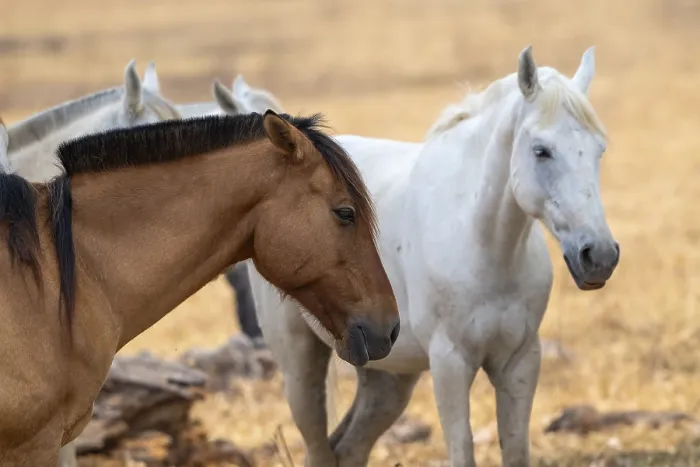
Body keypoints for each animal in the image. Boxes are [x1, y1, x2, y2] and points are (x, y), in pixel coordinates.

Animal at [245, 45, 620, 467]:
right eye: (542, 151)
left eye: (599, 150)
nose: (599, 255)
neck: (484, 246)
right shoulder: (450, 364)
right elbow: (462, 451)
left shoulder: (519, 362)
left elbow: (516, 451)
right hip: (300, 363)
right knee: (318, 446)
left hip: (387, 377)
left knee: (348, 448)